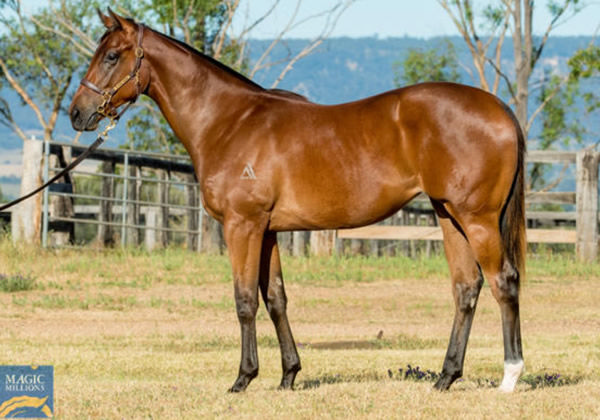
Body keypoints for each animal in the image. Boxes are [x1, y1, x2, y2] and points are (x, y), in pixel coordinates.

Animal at [68, 11, 524, 396]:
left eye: (111, 55)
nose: (77, 113)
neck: (229, 121)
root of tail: (500, 109)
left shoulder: (242, 226)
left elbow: (245, 300)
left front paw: (243, 378)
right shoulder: (267, 231)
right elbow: (276, 299)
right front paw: (288, 375)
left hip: (477, 218)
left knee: (503, 282)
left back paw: (510, 376)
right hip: (449, 215)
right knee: (466, 288)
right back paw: (446, 377)